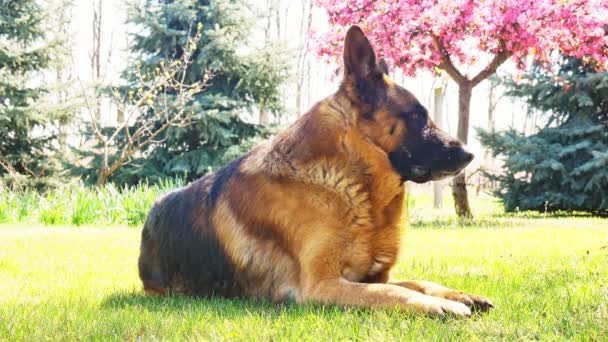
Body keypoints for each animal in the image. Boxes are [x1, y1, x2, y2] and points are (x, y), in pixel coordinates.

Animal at [139, 25, 494, 316]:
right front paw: (439, 304)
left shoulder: (376, 274)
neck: (347, 179)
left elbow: (415, 282)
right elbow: (388, 292)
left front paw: (457, 295)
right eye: (417, 116)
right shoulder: (321, 285)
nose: (469, 154)